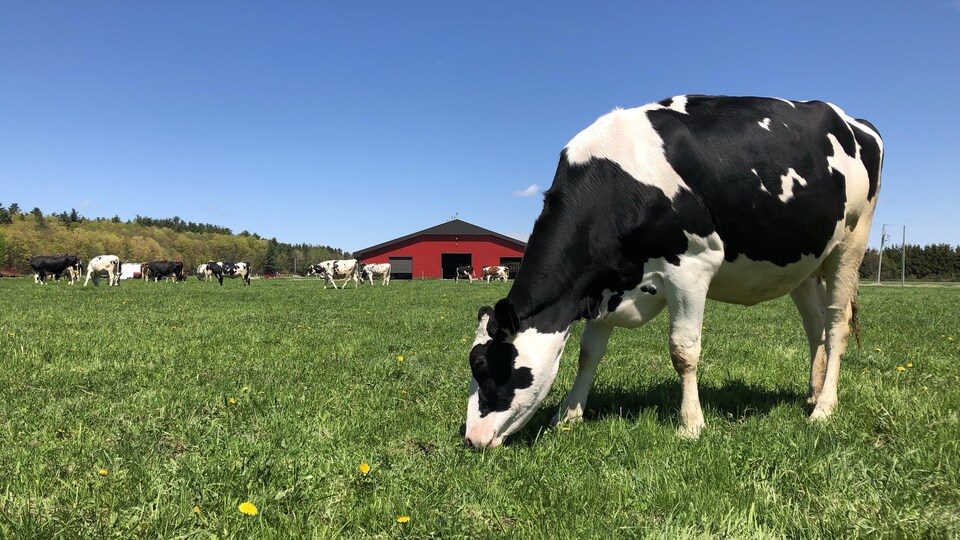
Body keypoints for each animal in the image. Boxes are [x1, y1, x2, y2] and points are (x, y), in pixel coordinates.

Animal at [464, 95, 884, 450]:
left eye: (483, 366)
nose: (471, 439)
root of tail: (853, 120)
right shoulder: (603, 286)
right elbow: (588, 354)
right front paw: (568, 416)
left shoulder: (693, 266)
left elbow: (683, 351)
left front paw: (691, 425)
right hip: (804, 263)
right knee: (816, 327)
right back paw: (812, 393)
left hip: (851, 243)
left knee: (837, 323)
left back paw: (823, 408)